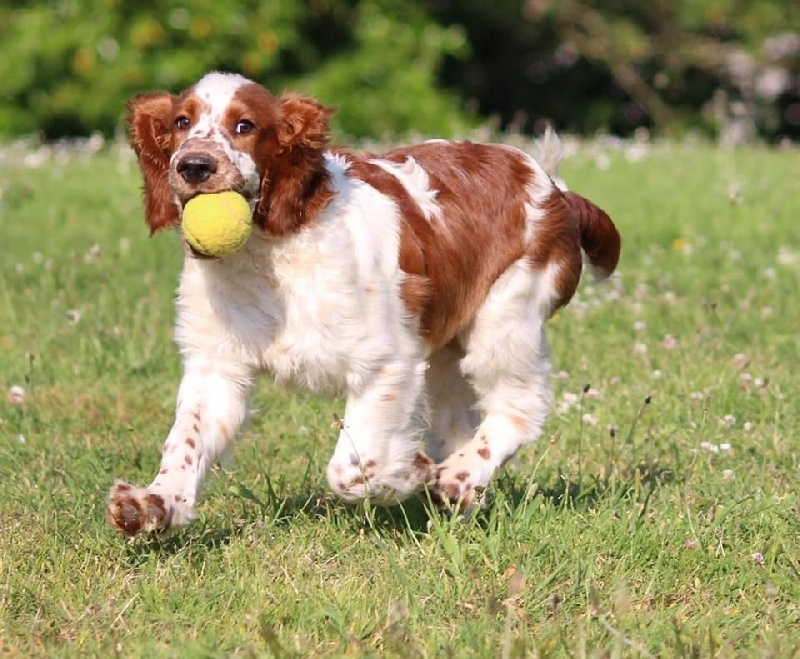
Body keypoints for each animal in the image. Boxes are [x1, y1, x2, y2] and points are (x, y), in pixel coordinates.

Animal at [108, 73, 620, 536]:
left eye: (244, 126)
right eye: (181, 121)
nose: (193, 165)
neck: (270, 252)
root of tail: (553, 186)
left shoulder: (386, 364)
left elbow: (352, 468)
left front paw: (410, 471)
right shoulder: (217, 364)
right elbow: (187, 440)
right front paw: (152, 504)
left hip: (505, 317)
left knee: (521, 406)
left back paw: (456, 476)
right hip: (445, 353)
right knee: (459, 421)